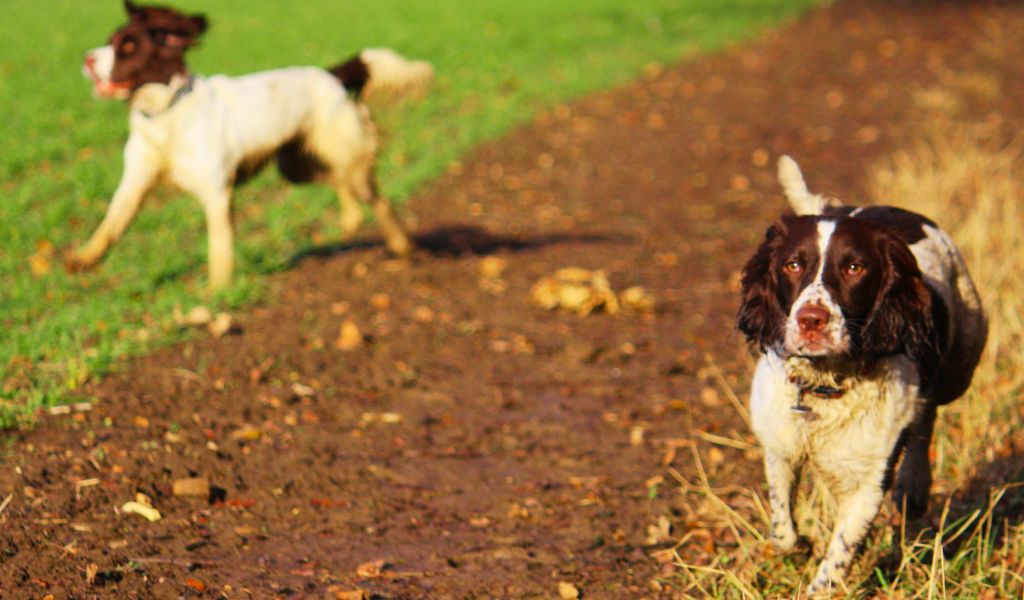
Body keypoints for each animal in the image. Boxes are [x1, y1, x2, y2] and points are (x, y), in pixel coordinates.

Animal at [69, 0, 432, 288]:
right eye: (110, 42)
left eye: (129, 47)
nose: (86, 59)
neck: (167, 112)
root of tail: (331, 76)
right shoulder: (135, 182)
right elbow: (110, 224)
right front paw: (82, 258)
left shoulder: (216, 192)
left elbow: (219, 244)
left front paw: (216, 294)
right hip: (295, 166)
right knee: (339, 181)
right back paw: (352, 218)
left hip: (343, 154)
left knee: (376, 196)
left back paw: (402, 245)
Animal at [741, 156, 987, 589]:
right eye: (792, 264)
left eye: (855, 267)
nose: (811, 320)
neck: (825, 386)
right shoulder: (780, 445)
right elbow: (782, 527)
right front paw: (801, 546)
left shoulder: (870, 480)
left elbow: (836, 559)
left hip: (964, 357)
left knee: (928, 413)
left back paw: (914, 486)